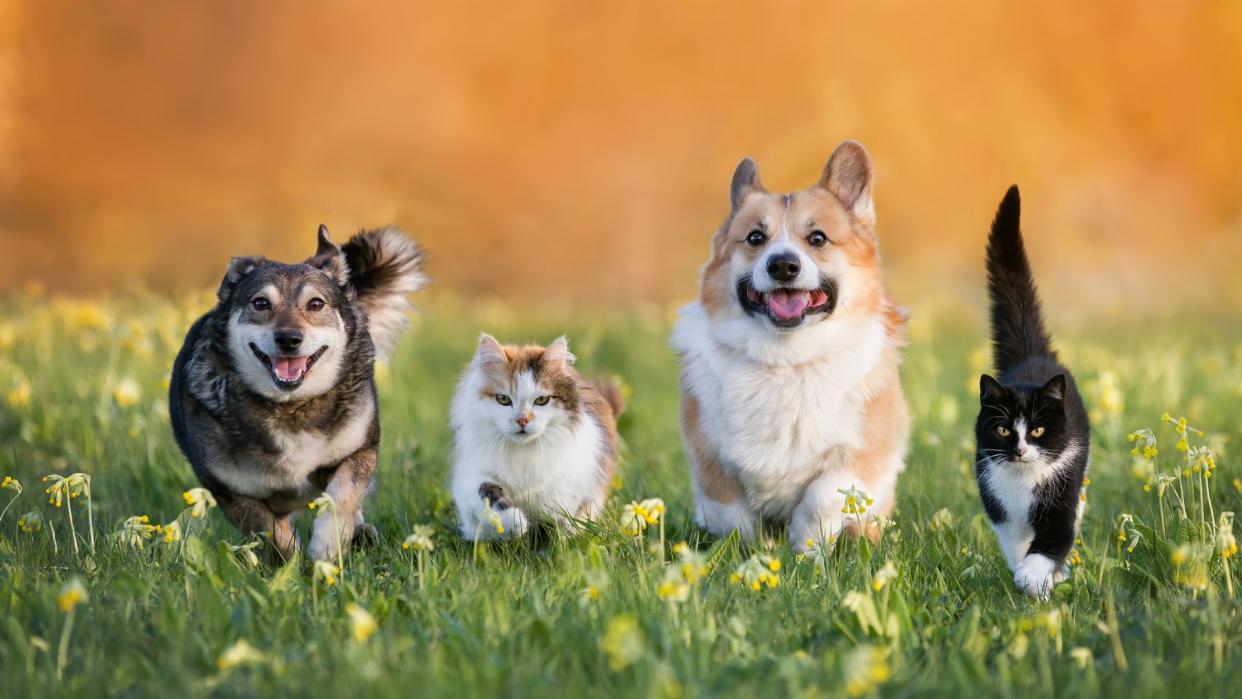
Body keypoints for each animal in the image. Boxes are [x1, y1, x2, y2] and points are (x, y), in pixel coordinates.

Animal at [447, 335, 625, 541]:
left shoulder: (566, 490)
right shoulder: (471, 475)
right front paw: (514, 524)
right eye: (503, 399)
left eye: (541, 400)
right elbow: (488, 493)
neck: (523, 453)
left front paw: (549, 544)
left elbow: (554, 525)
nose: (522, 420)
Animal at [675, 139, 909, 548]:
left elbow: (821, 499)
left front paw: (805, 549)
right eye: (755, 237)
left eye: (817, 238)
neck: (786, 359)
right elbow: (734, 517)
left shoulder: (861, 456)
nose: (783, 265)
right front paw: (756, 551)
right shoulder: (710, 460)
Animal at [973, 184, 1092, 595]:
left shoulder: (1061, 495)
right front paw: (1023, 573)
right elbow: (1014, 543)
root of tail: (1031, 354)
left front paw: (1034, 577)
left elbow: (1054, 539)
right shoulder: (999, 504)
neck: (1025, 482)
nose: (1022, 450)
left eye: (1038, 430)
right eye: (1003, 429)